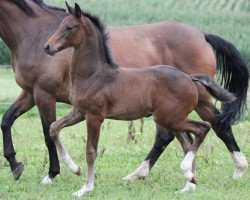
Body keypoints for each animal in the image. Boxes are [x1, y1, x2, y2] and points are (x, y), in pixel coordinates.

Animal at [0, 0, 247, 184]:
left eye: (68, 28)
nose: (48, 47)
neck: (31, 32)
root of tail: (202, 34)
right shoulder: (29, 93)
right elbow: (8, 120)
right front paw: (16, 166)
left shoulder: (44, 93)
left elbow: (47, 132)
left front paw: (52, 174)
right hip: (176, 108)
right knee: (180, 136)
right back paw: (180, 173)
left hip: (196, 100)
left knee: (216, 125)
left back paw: (236, 169)